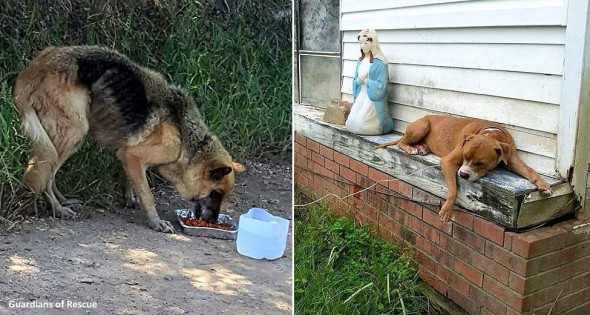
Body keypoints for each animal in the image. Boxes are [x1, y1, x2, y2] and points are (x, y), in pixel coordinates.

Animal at [13, 45, 245, 233]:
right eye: (215, 194)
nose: (213, 222)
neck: (189, 142)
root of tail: (34, 68)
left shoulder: (127, 154)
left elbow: (130, 179)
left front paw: (130, 197)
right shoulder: (133, 155)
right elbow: (148, 195)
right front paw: (155, 221)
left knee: (49, 174)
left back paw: (63, 200)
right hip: (74, 132)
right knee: (46, 176)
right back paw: (58, 208)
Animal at [380, 115, 556, 222]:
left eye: (481, 164)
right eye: (465, 156)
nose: (463, 174)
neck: (491, 134)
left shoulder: (511, 159)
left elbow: (529, 170)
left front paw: (544, 185)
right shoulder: (449, 162)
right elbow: (453, 189)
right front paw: (447, 210)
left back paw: (422, 148)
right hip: (421, 127)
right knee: (401, 142)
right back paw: (411, 148)